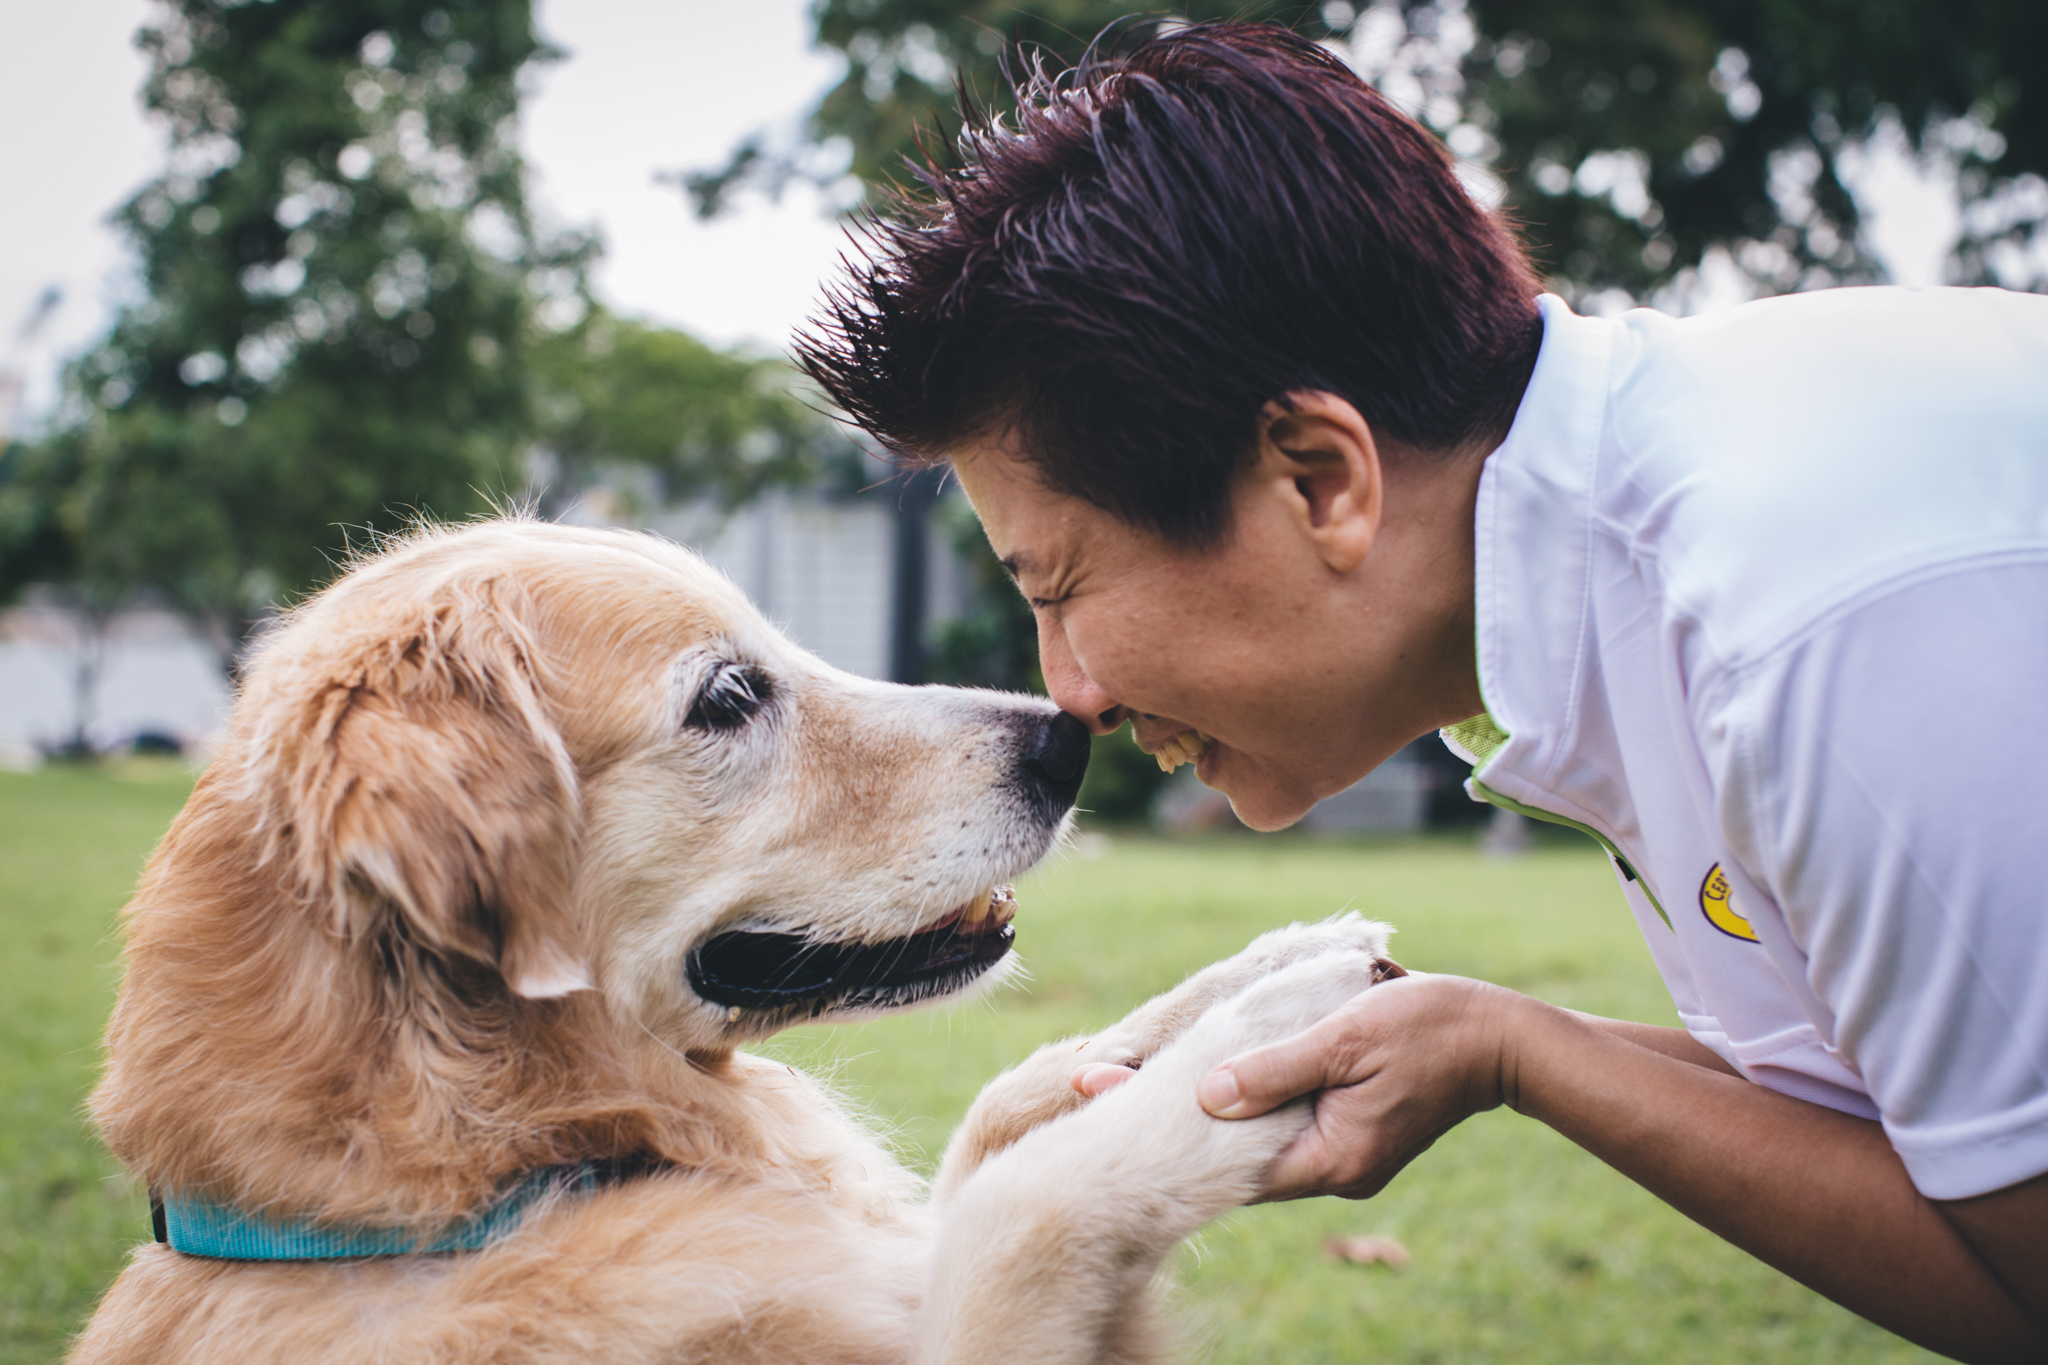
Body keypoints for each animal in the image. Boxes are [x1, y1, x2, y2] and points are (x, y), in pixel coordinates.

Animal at [75, 517, 1392, 1358]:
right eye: (727, 697)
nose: (1068, 740)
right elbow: (1024, 1209)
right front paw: (1248, 1043)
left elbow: (998, 1124)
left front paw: (1241, 983)